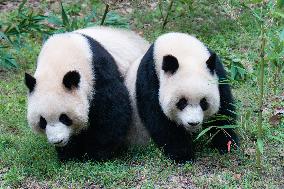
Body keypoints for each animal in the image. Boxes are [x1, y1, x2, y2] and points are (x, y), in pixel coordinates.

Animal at [24, 25, 151, 160]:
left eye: (64, 117)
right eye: (42, 121)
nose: (57, 141)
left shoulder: (97, 72)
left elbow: (112, 111)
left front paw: (96, 153)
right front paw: (69, 153)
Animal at [125, 32, 239, 162]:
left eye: (204, 102)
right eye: (181, 102)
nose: (193, 123)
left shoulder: (218, 74)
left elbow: (223, 112)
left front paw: (226, 143)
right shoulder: (150, 78)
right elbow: (160, 120)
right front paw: (182, 155)